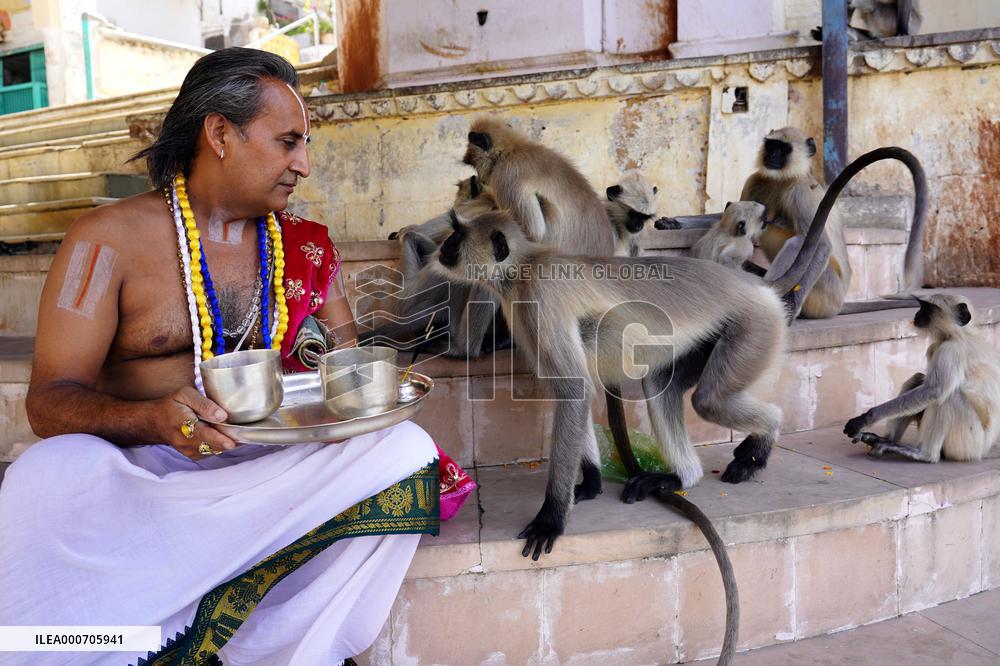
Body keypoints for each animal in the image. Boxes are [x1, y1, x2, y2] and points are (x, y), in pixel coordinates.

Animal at [845, 294, 1000, 462]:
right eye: (922, 306)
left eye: (926, 308)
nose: (916, 314)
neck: (959, 335)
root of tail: (986, 449)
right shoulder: (936, 347)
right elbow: (924, 385)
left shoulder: (951, 350)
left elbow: (934, 391)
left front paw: (866, 418)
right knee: (918, 379)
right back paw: (886, 441)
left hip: (970, 444)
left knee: (948, 396)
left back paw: (924, 454)